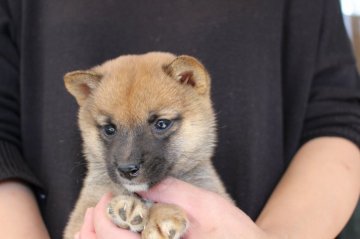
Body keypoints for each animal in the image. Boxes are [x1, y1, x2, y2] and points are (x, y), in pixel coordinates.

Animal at [63, 52, 231, 239]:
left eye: (162, 124)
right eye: (109, 129)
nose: (126, 170)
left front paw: (162, 216)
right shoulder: (80, 218)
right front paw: (128, 206)